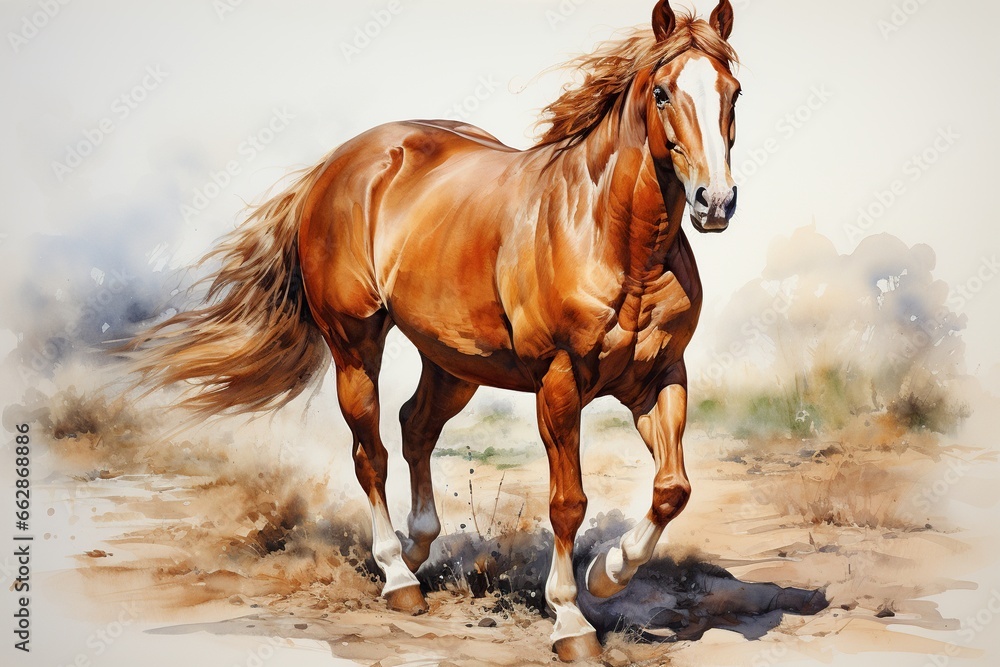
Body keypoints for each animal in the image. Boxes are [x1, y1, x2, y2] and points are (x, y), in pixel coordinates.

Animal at [128, 0, 741, 660]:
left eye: (734, 92)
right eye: (661, 92)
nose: (714, 202)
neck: (615, 241)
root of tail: (337, 164)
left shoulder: (660, 377)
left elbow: (672, 488)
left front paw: (608, 572)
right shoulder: (557, 382)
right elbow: (568, 502)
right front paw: (570, 621)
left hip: (453, 362)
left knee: (415, 425)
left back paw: (419, 546)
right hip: (355, 346)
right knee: (370, 453)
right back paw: (398, 577)